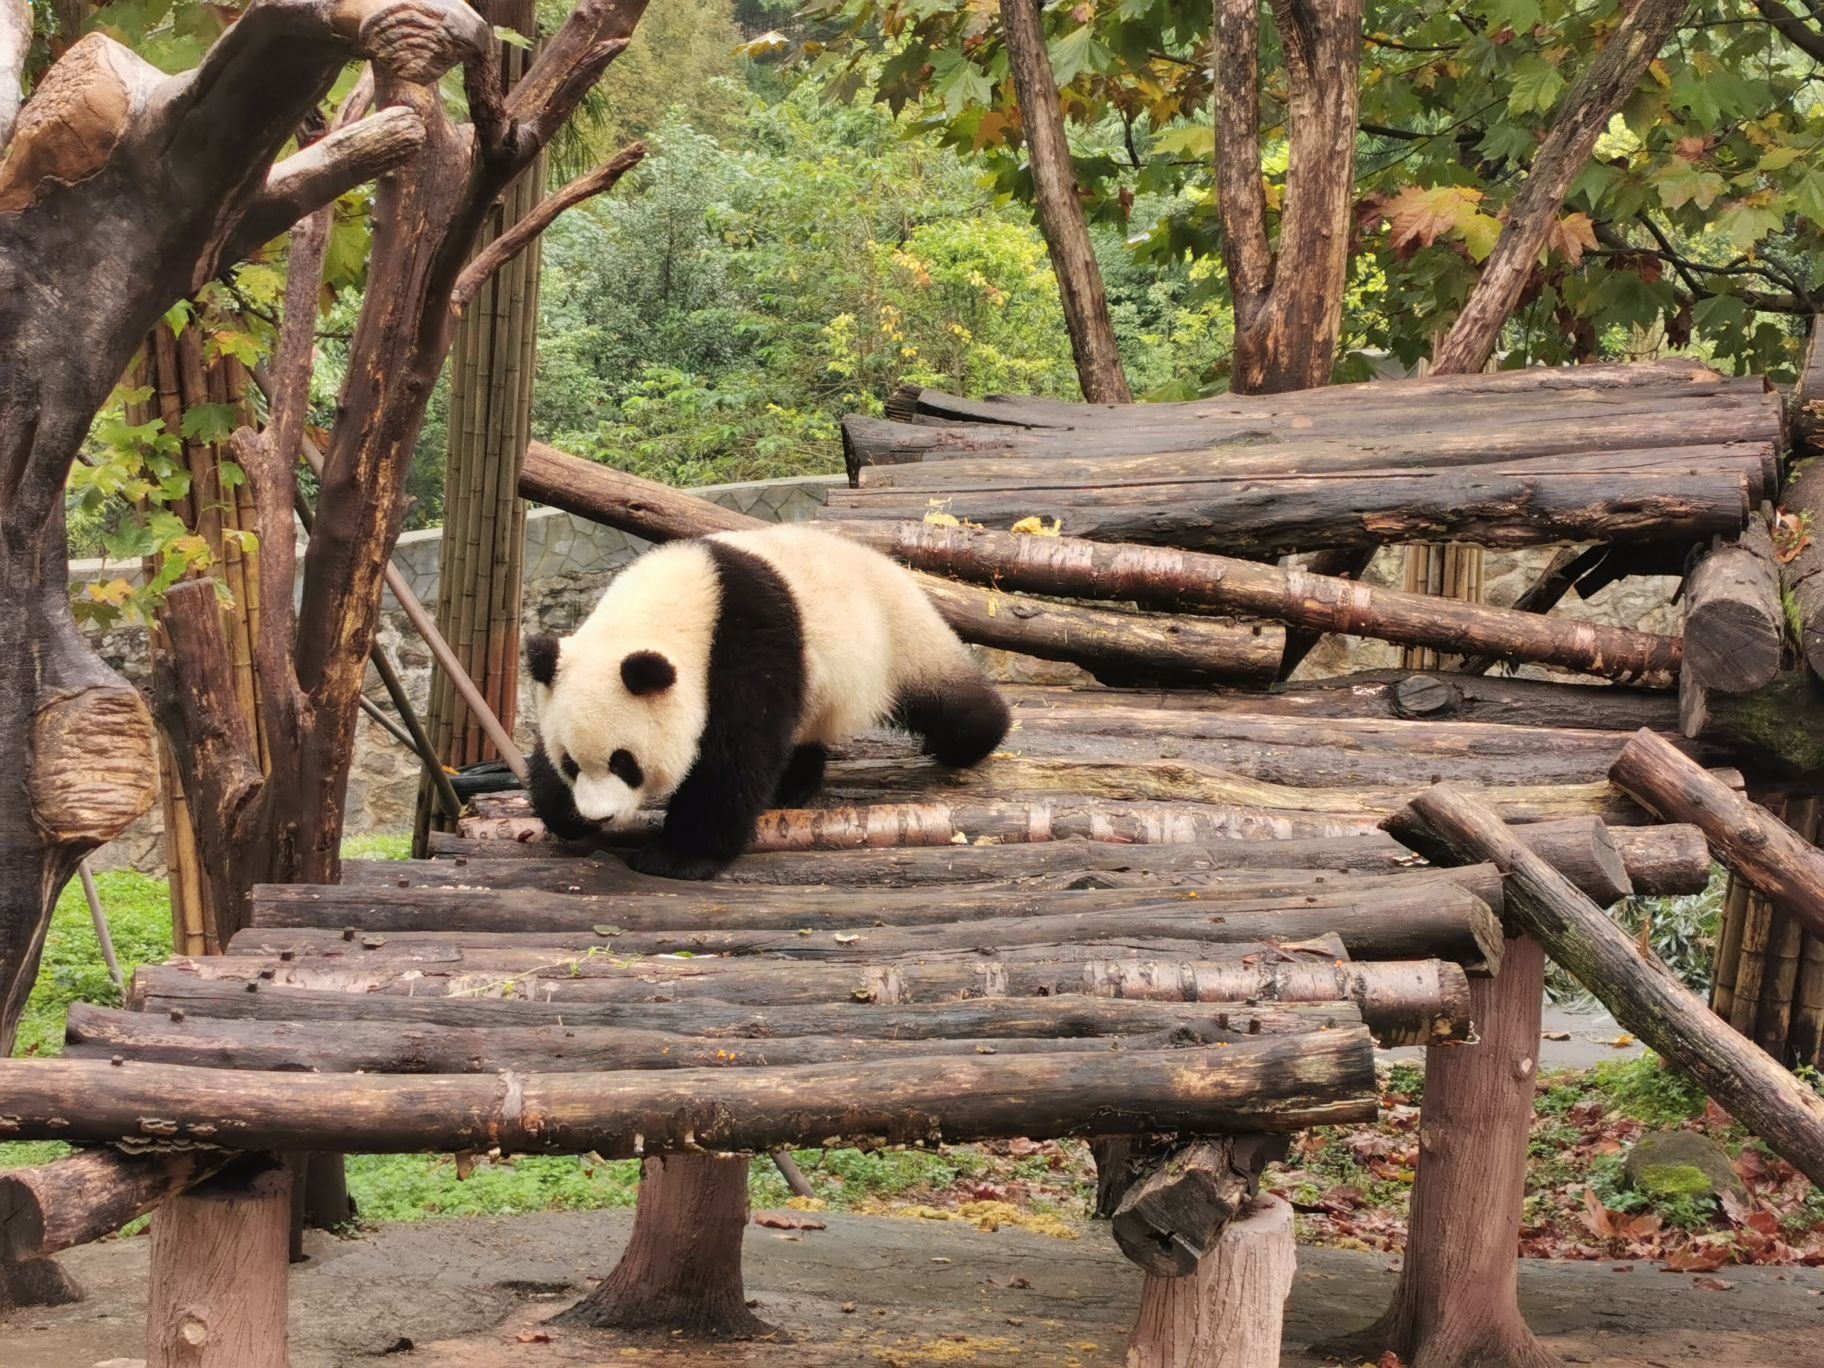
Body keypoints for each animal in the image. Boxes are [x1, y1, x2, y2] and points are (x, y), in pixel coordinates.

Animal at [522, 524, 1010, 881]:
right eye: (571, 763)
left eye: (625, 762)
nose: (599, 815)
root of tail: (892, 566)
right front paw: (563, 812)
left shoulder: (747, 641)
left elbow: (735, 753)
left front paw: (679, 856)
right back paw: (793, 786)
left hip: (898, 638)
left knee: (955, 707)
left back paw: (976, 738)